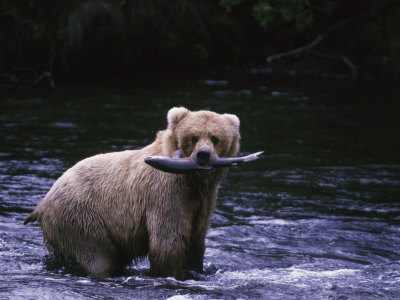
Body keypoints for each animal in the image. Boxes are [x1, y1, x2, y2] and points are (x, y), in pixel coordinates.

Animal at [25, 106, 241, 280]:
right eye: (193, 137)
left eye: (215, 138)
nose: (203, 155)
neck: (192, 180)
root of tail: (42, 203)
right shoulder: (166, 193)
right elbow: (168, 240)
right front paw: (172, 274)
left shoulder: (205, 199)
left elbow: (196, 238)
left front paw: (196, 270)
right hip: (81, 216)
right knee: (97, 255)